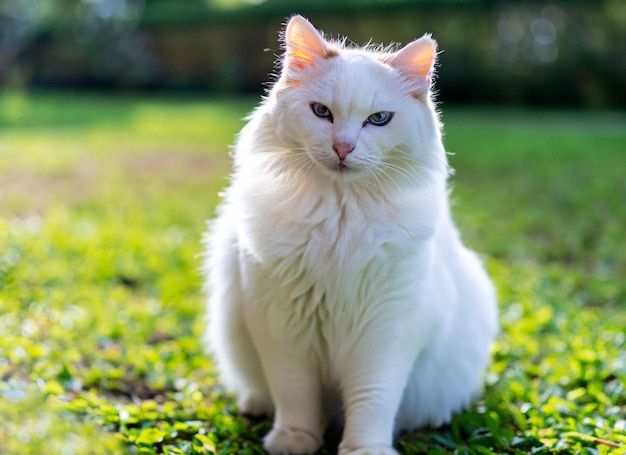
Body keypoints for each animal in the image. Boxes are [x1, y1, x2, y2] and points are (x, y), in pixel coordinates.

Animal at [205, 15, 498, 455]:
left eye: (378, 119)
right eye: (321, 112)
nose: (343, 148)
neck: (339, 221)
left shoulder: (386, 329)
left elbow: (371, 401)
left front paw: (363, 449)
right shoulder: (280, 324)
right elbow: (294, 394)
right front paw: (295, 440)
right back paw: (255, 405)